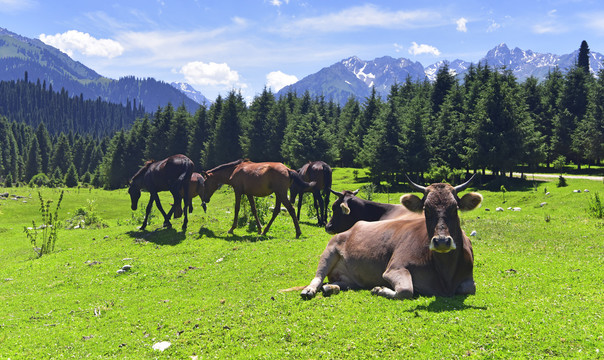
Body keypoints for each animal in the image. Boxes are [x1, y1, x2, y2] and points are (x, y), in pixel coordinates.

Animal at [300, 176, 482, 300]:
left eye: (455, 207)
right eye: (426, 209)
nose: (442, 241)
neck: (445, 276)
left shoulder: (469, 280)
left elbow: (470, 288)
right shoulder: (394, 268)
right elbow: (406, 290)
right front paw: (379, 289)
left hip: (350, 279)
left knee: (339, 283)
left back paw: (331, 288)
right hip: (329, 251)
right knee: (318, 277)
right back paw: (309, 290)